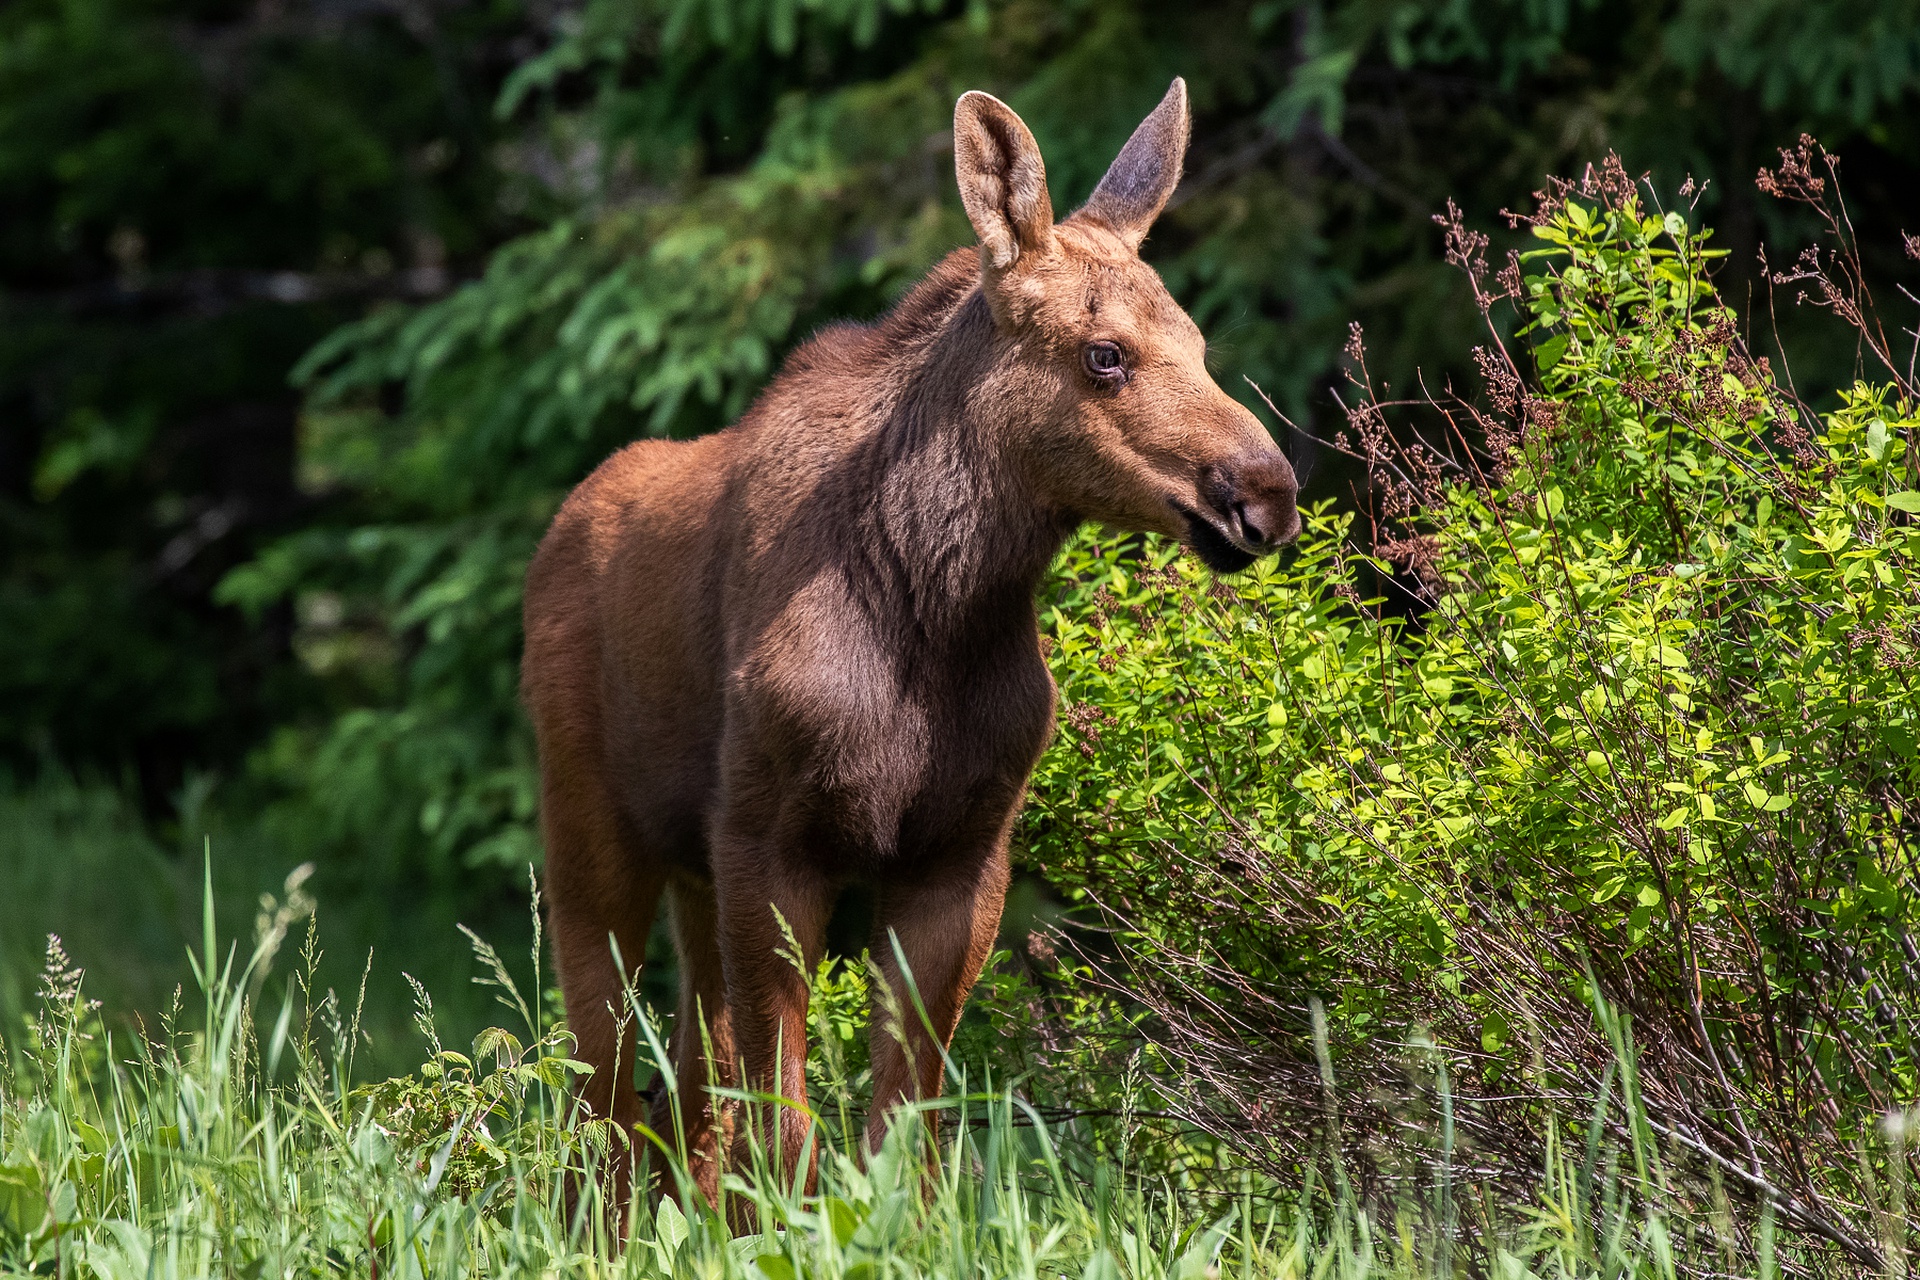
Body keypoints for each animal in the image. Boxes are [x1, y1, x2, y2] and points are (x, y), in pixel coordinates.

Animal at [522, 80, 1305, 1212]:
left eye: (1199, 344)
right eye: (1104, 354)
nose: (1264, 493)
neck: (939, 618)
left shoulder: (959, 852)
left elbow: (903, 1127)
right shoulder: (768, 839)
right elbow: (790, 1122)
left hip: (688, 871)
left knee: (688, 1096)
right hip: (590, 836)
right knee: (608, 1096)